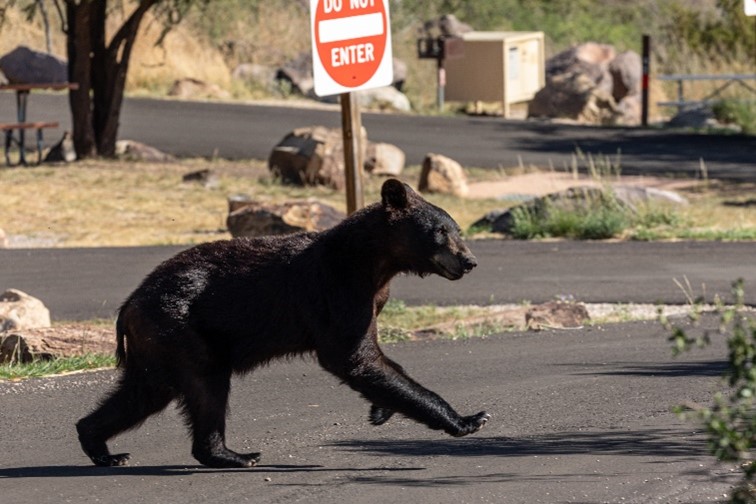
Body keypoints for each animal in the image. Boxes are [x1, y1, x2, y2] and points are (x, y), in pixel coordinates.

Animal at [78, 178, 490, 468]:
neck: (373, 262)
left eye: (457, 229)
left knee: (145, 391)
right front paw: (470, 418)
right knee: (204, 385)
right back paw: (236, 454)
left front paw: (380, 409)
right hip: (180, 329)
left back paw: (103, 446)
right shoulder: (338, 290)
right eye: (440, 232)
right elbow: (352, 357)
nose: (469, 261)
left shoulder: (374, 298)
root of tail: (129, 304)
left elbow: (371, 360)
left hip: (158, 343)